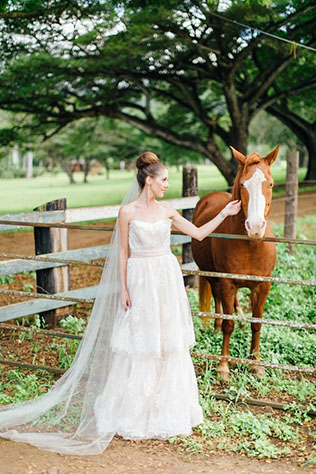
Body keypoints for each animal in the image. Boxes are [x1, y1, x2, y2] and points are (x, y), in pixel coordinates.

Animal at [191, 146, 280, 380]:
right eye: (242, 184)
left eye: (270, 184)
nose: (255, 227)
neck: (251, 245)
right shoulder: (227, 282)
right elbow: (228, 324)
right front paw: (223, 366)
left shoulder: (263, 285)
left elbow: (257, 324)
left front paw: (256, 363)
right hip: (213, 277)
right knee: (218, 301)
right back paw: (215, 327)